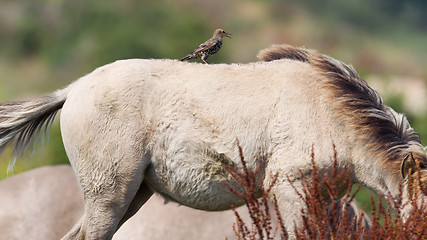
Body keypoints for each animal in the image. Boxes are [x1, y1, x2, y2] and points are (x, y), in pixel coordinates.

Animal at [0, 43, 426, 238]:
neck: (327, 111)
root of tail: (72, 90)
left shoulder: (324, 197)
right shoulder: (291, 190)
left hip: (132, 196)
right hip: (109, 195)